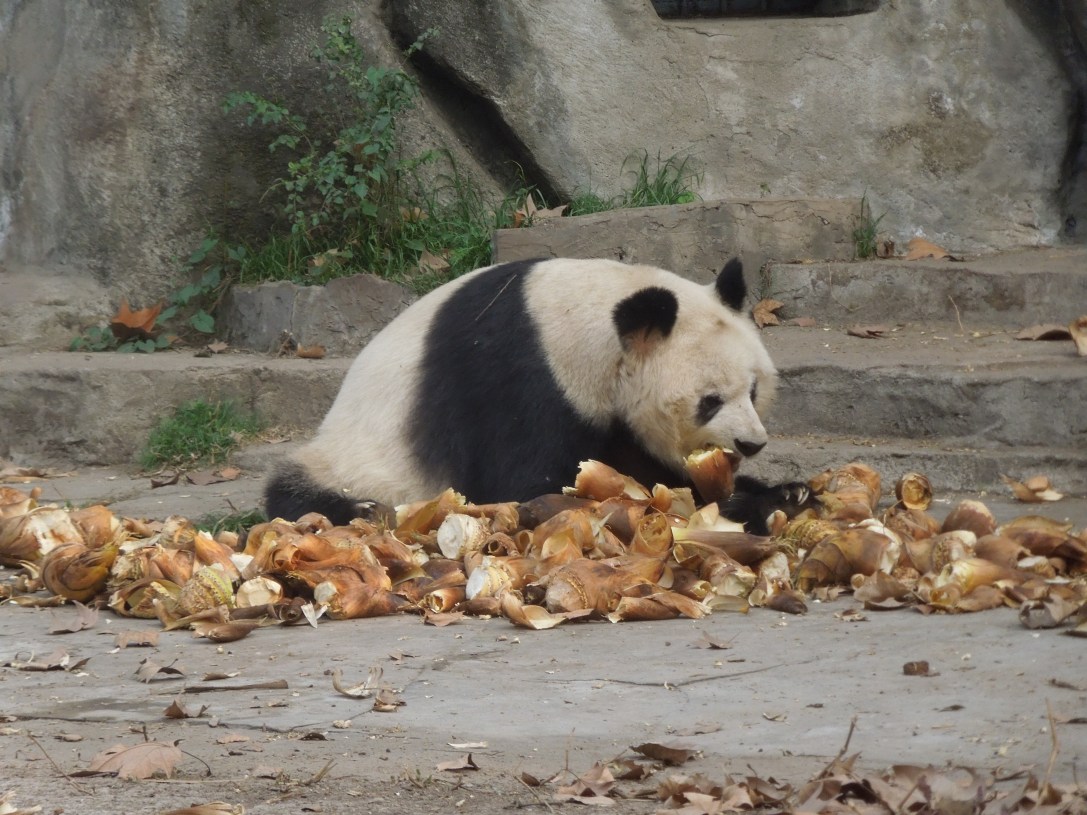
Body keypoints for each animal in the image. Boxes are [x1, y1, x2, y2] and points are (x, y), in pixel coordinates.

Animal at [264, 257, 810, 534]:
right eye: (710, 400)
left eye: (754, 390)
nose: (751, 444)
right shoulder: (518, 377)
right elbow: (529, 487)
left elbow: (638, 465)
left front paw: (785, 492)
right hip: (359, 456)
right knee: (295, 493)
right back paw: (357, 510)